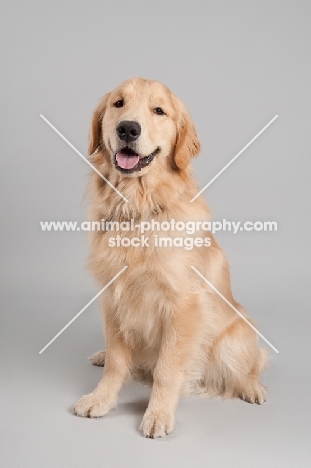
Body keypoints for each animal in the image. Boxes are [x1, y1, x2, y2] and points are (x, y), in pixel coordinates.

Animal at [73, 77, 268, 438]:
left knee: (248, 367)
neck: (137, 207)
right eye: (118, 103)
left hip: (235, 337)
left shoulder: (182, 305)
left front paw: (158, 414)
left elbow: (166, 369)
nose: (127, 129)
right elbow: (118, 362)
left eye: (159, 111)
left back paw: (252, 387)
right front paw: (101, 398)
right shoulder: (112, 297)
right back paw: (102, 355)